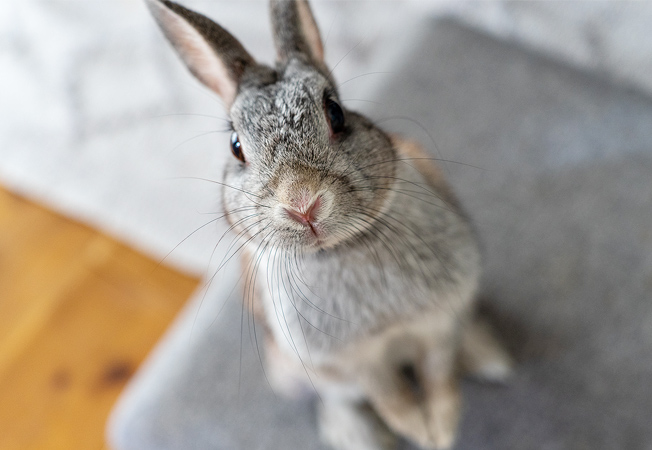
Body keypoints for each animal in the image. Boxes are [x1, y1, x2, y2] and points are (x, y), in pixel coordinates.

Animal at [146, 1, 516, 448]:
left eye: (336, 113)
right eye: (235, 147)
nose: (302, 204)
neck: (344, 247)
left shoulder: (438, 325)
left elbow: (439, 375)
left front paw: (441, 431)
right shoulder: (349, 362)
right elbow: (388, 395)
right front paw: (419, 431)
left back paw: (489, 356)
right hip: (290, 374)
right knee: (336, 399)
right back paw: (355, 434)